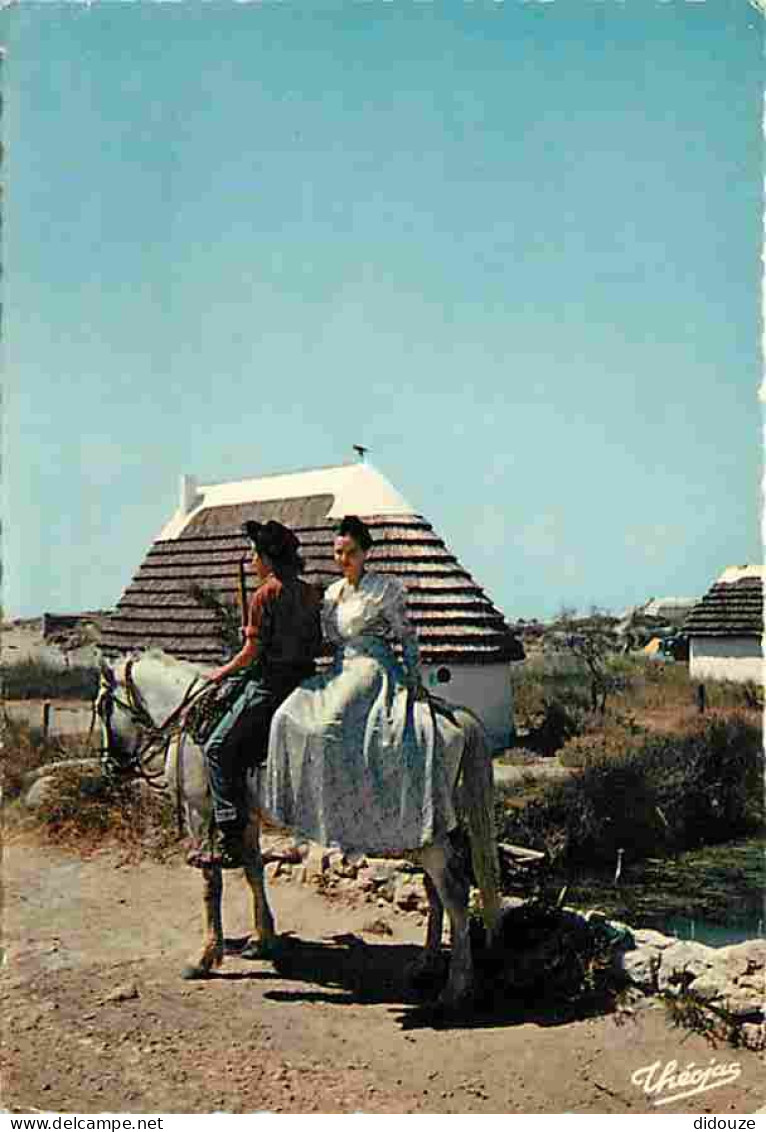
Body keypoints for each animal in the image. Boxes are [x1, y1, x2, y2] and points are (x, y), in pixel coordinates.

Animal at [97, 652, 502, 1014]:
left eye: (102, 707)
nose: (110, 766)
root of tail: (451, 717)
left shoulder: (201, 813)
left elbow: (211, 884)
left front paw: (204, 957)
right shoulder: (246, 816)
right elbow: (254, 871)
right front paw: (263, 940)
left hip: (428, 836)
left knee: (454, 892)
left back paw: (455, 989)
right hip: (434, 830)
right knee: (436, 892)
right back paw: (426, 966)